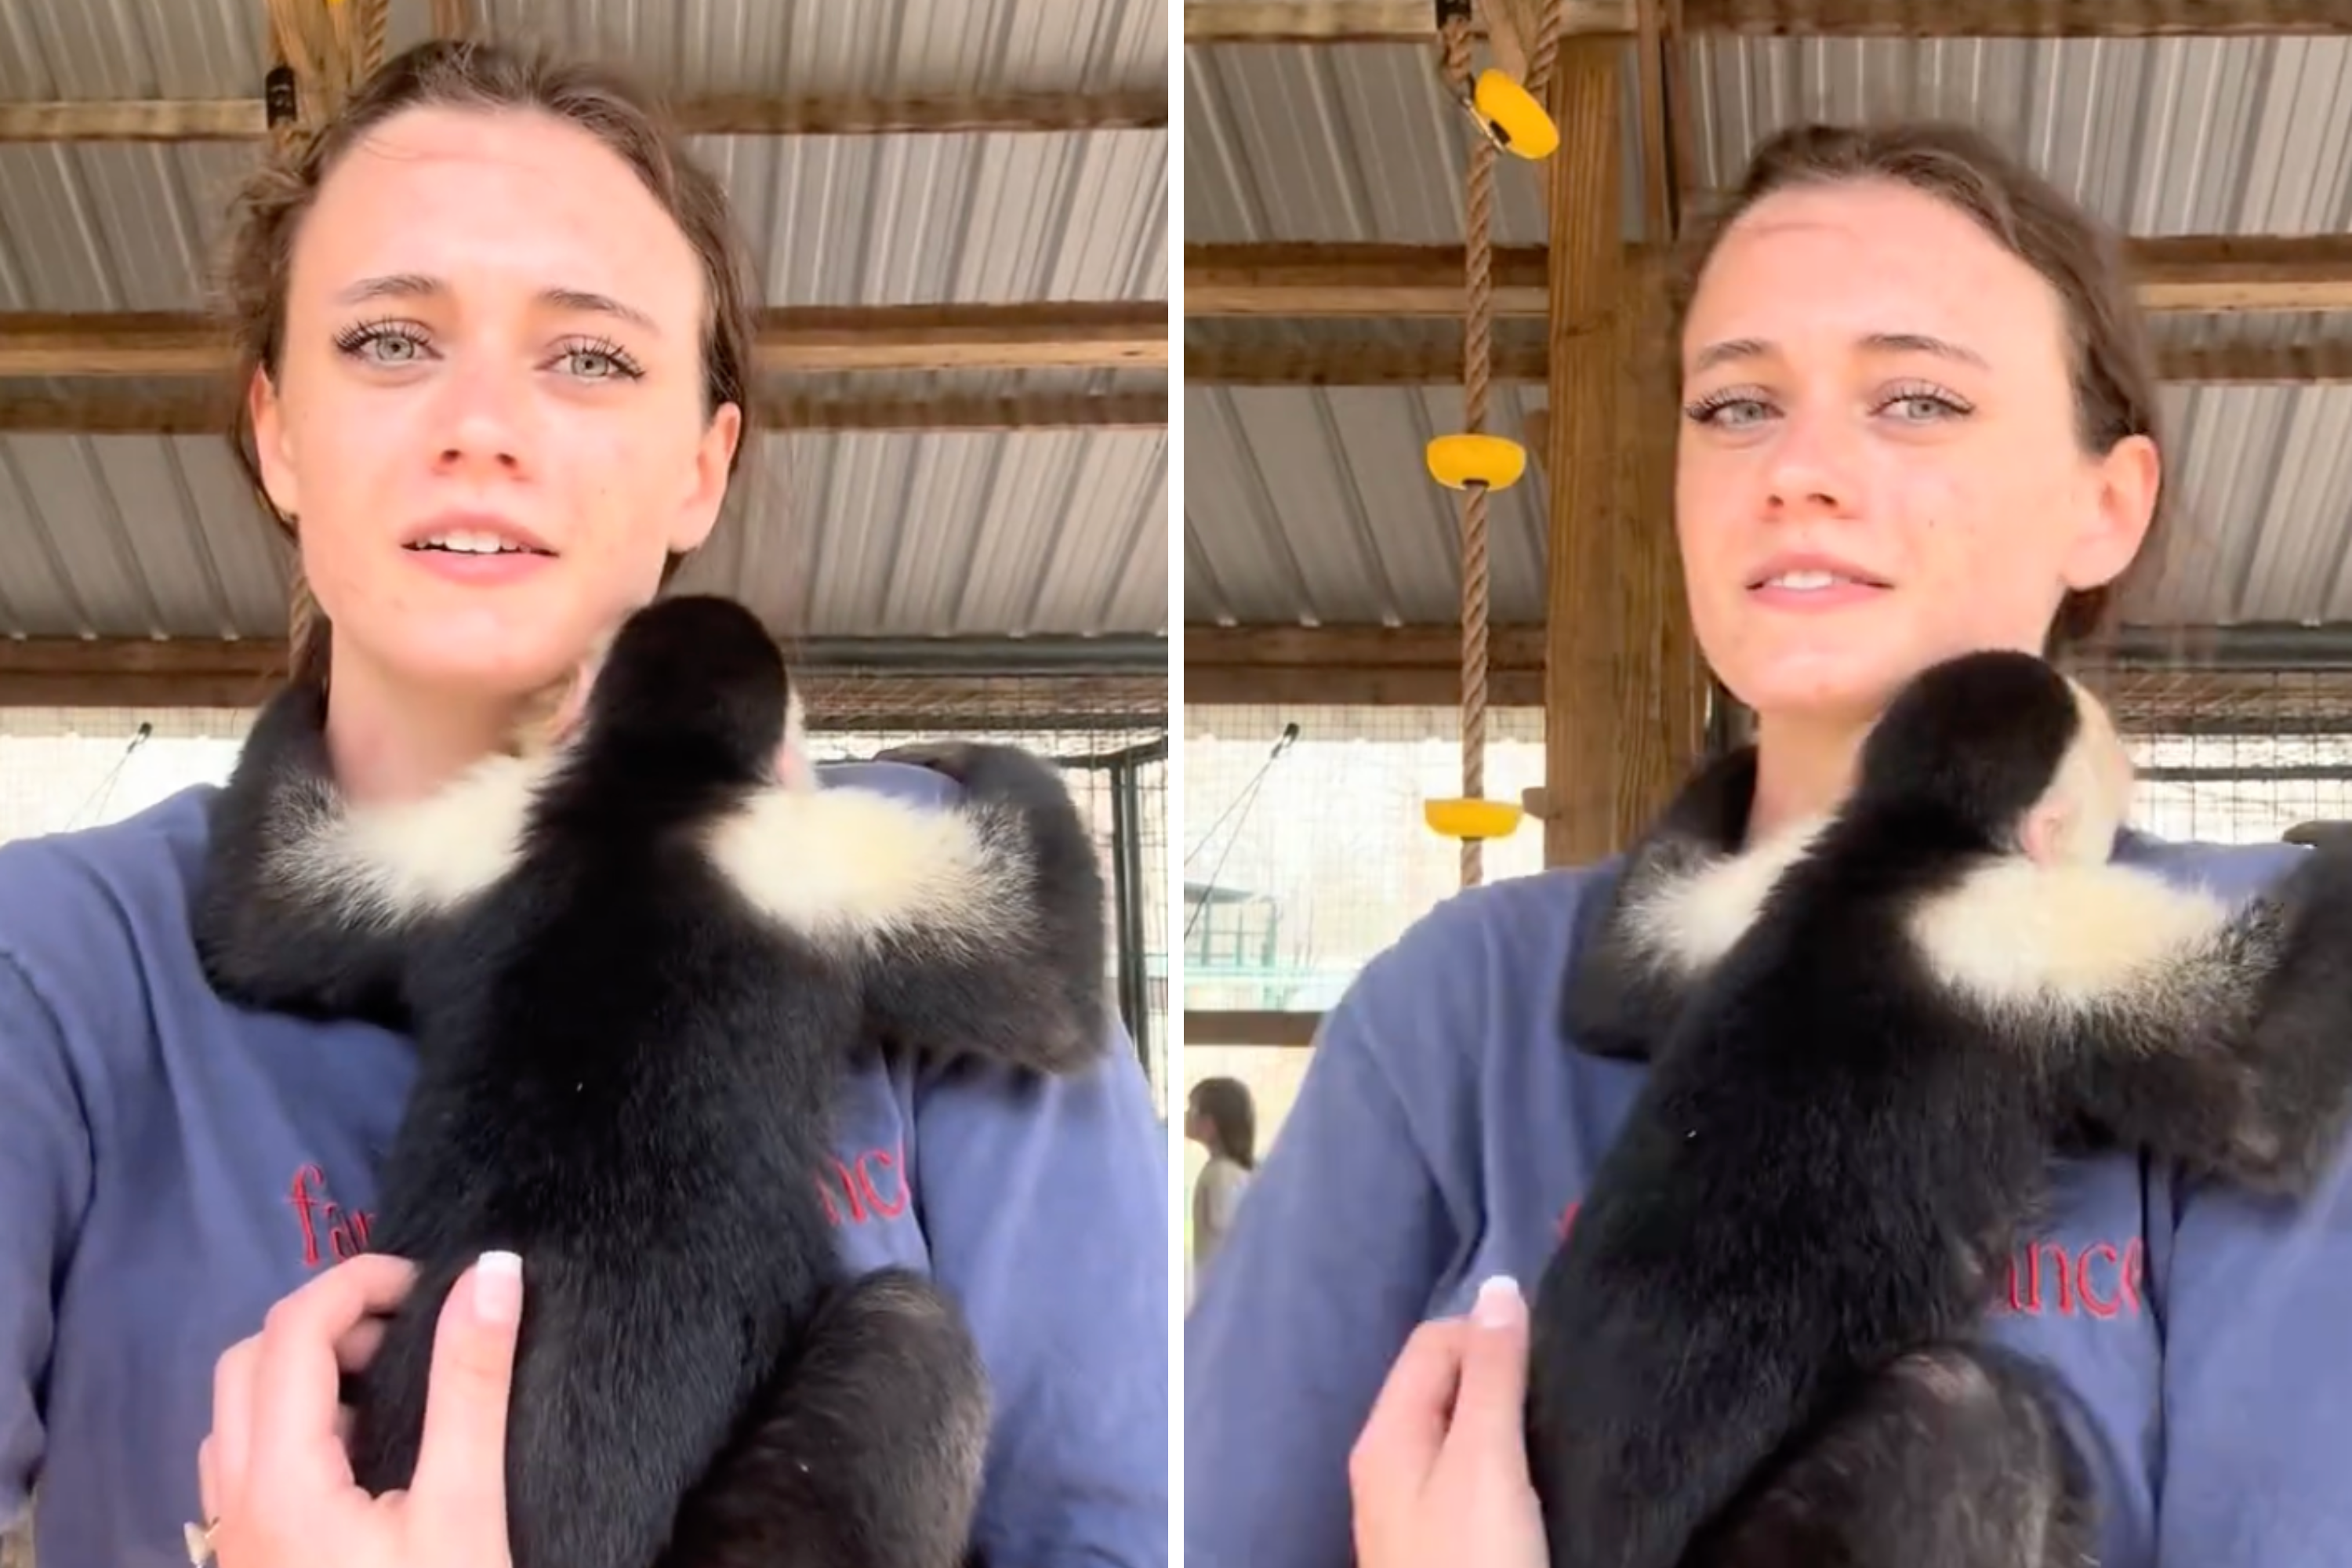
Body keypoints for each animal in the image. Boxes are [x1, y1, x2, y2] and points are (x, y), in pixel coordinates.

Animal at [1525, 648, 2352, 1568]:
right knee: (1962, 1407)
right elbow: (2259, 1092)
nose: (2133, 764)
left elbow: (1613, 976)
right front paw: (2341, 842)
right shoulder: (2022, 920)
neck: (1915, 840)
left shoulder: (1793, 872)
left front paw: (1732, 766)